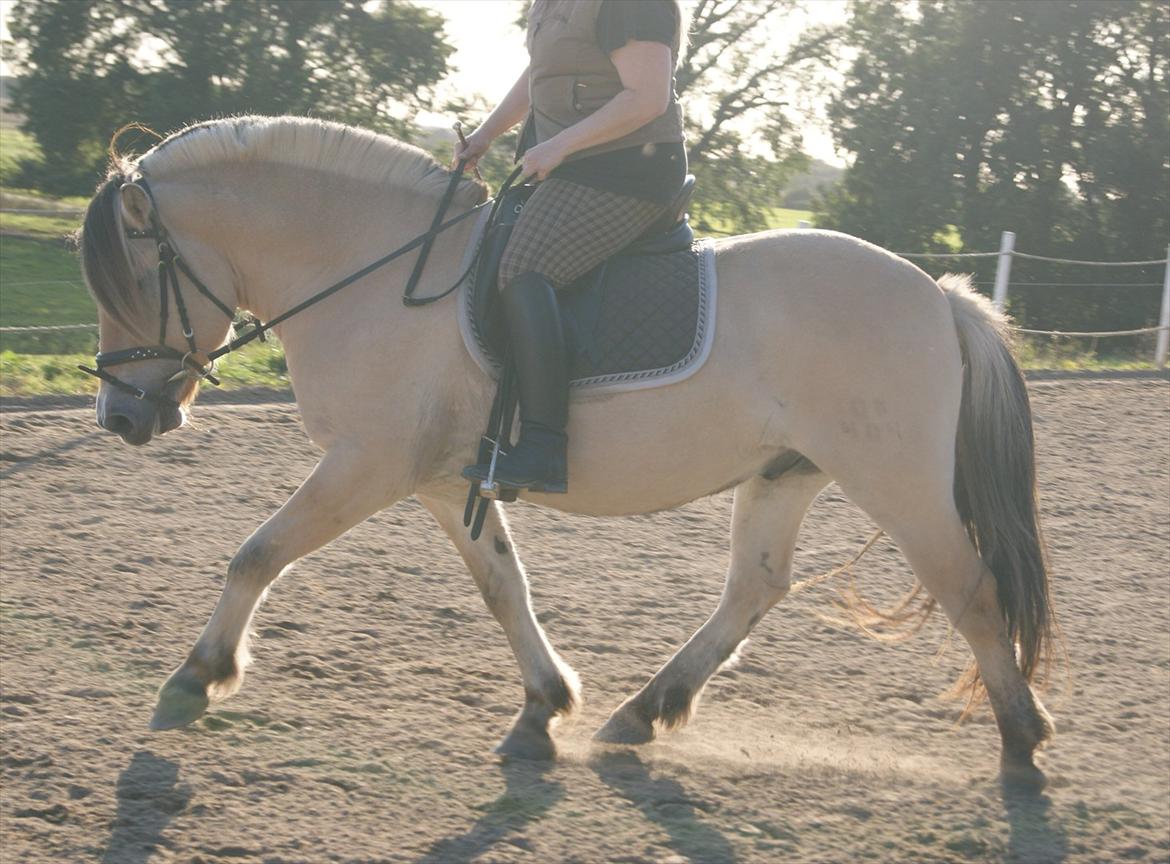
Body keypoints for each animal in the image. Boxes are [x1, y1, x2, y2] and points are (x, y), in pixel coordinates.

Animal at [77, 114, 1057, 786]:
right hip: (785, 474)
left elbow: (258, 553)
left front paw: (198, 675)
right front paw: (544, 706)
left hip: (897, 481)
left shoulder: (368, 464)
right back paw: (644, 710)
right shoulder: (442, 480)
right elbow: (503, 588)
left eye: (133, 284)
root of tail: (938, 295)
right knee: (756, 587)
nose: (120, 417)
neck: (372, 275)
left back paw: (1022, 740)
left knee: (970, 591)